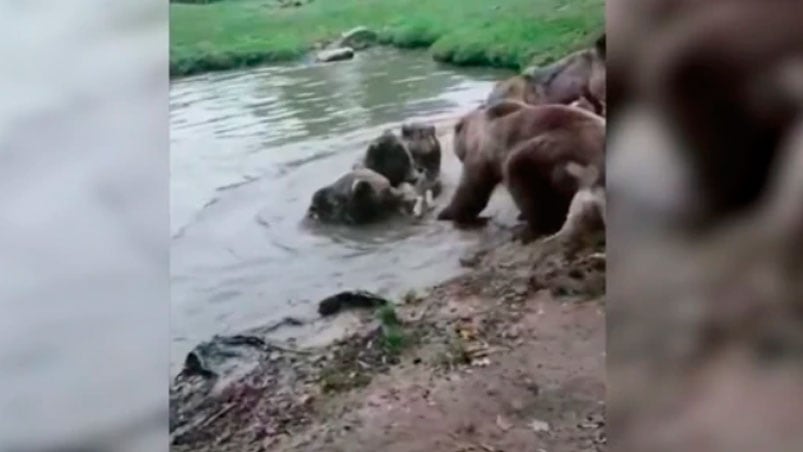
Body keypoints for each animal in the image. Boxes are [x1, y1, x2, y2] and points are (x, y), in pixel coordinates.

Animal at [440, 99, 604, 240]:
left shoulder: (481, 156)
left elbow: (470, 191)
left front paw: (446, 213)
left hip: (557, 151)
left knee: (521, 175)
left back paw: (530, 227)